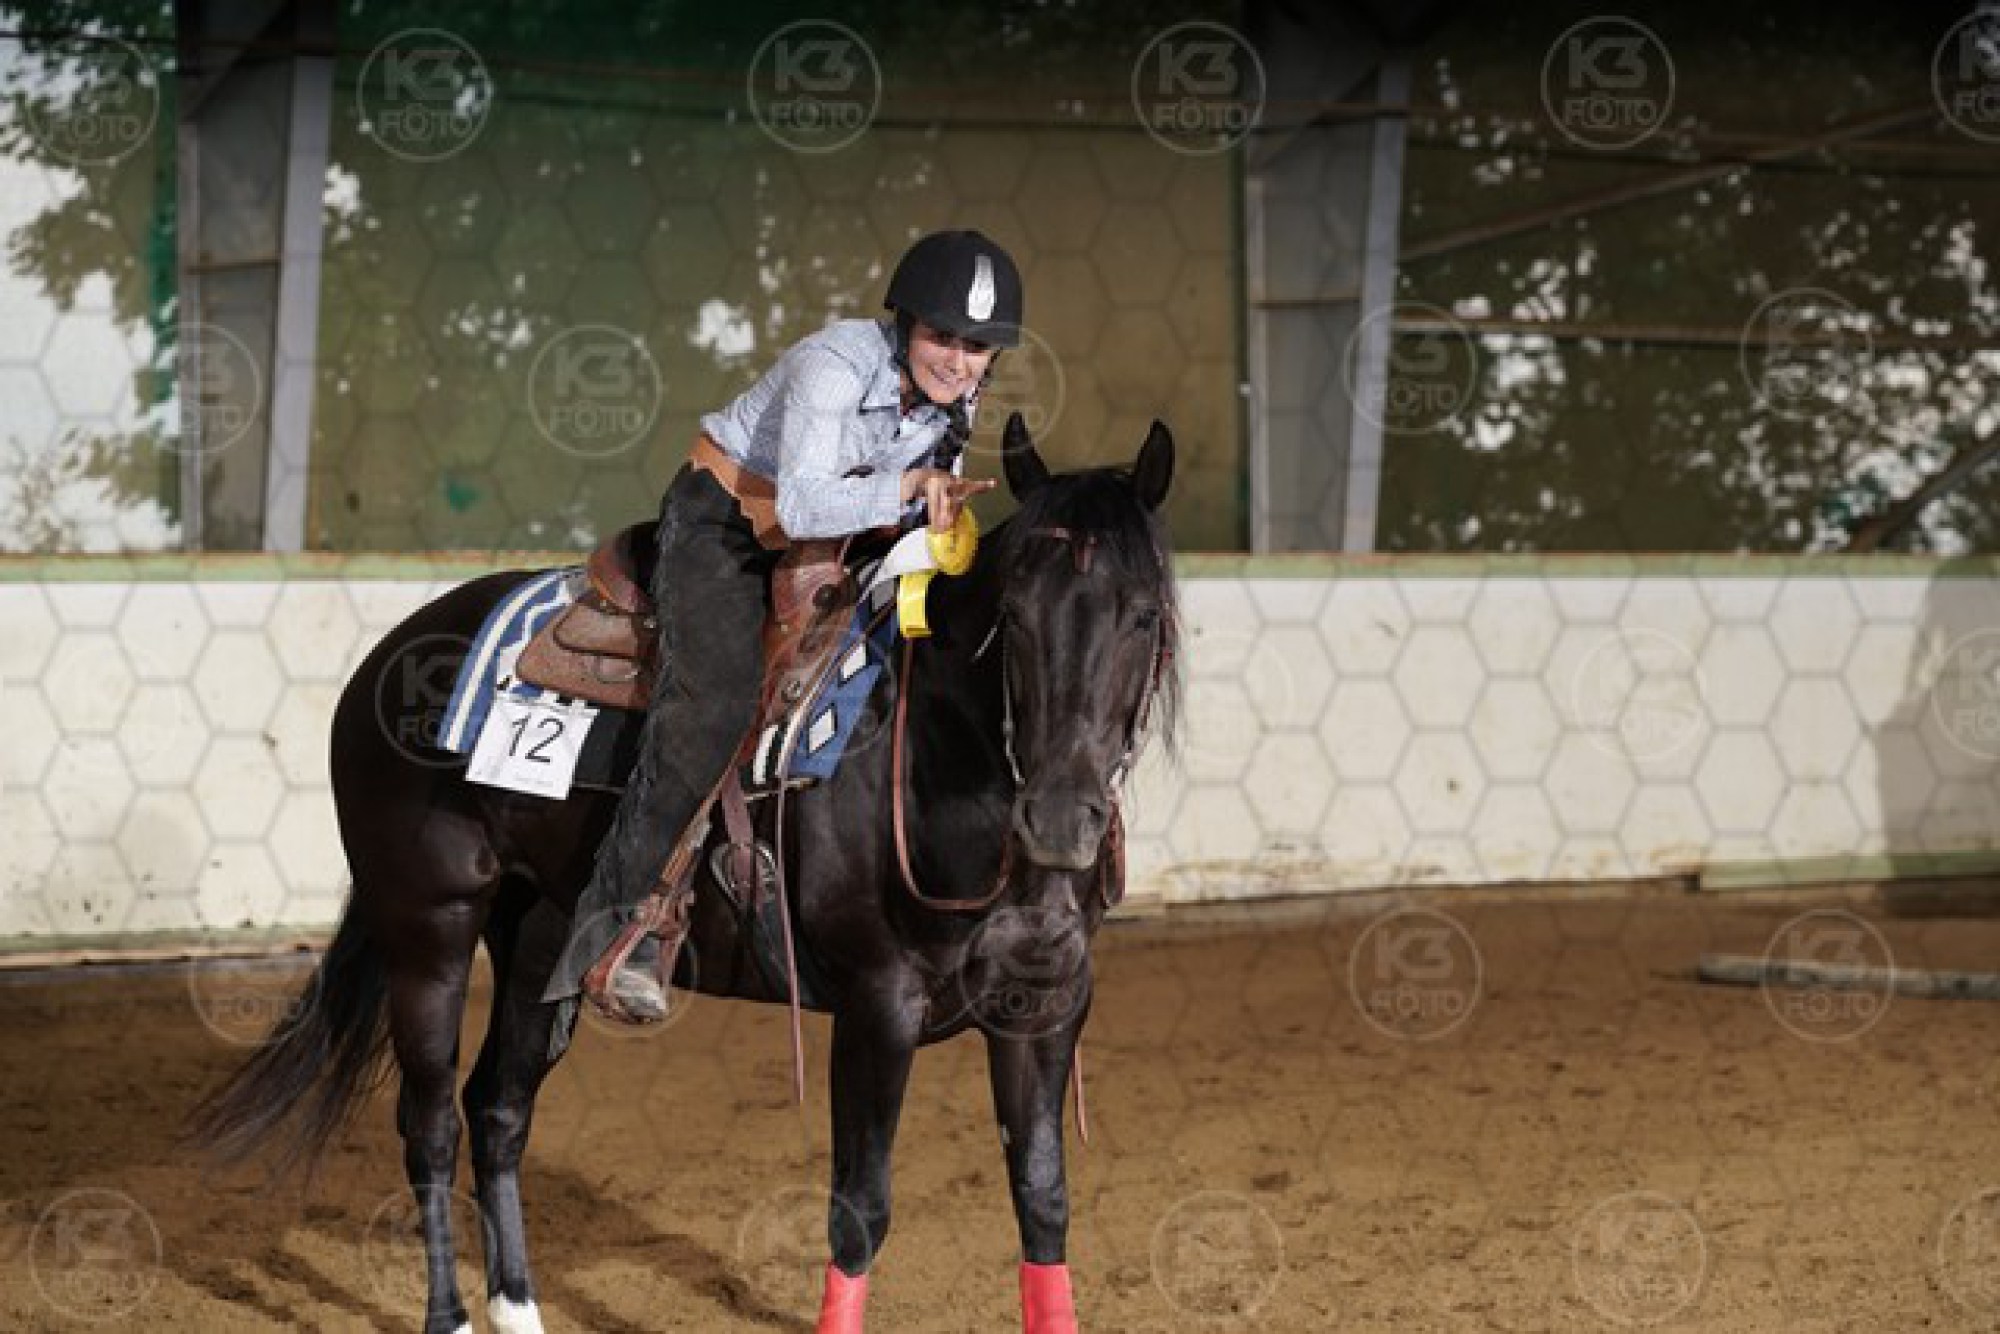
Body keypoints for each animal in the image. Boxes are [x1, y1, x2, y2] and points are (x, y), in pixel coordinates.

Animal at [191, 413, 1182, 1334]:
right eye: (1013, 618)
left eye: (1143, 615)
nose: (1061, 820)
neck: (937, 761)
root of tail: (386, 656)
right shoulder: (877, 1009)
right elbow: (859, 1212)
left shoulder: (1044, 1010)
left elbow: (1043, 1201)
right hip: (429, 925)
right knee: (429, 1123)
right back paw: (452, 1315)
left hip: (539, 934)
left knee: (498, 1110)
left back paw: (519, 1306)